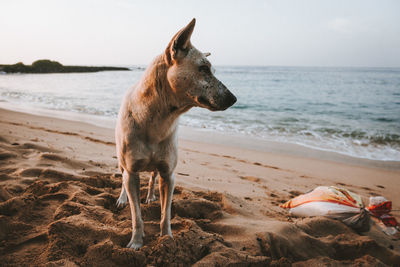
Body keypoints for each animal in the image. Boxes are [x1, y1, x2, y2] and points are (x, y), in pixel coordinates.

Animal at [114, 18, 236, 249]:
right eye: (204, 68)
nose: (234, 98)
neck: (156, 120)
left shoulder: (168, 175)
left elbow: (166, 213)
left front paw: (167, 239)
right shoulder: (132, 172)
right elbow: (137, 215)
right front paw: (136, 242)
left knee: (152, 177)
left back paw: (151, 195)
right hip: (120, 159)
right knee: (122, 176)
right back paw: (123, 198)